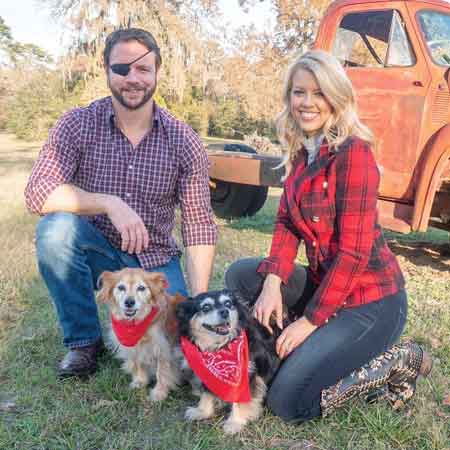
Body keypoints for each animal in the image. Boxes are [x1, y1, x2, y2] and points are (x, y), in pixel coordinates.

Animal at [175, 290, 278, 434]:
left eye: (228, 303)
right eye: (206, 307)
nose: (225, 311)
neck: (220, 347)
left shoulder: (246, 375)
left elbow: (240, 401)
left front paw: (235, 422)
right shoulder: (206, 372)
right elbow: (206, 393)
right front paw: (202, 411)